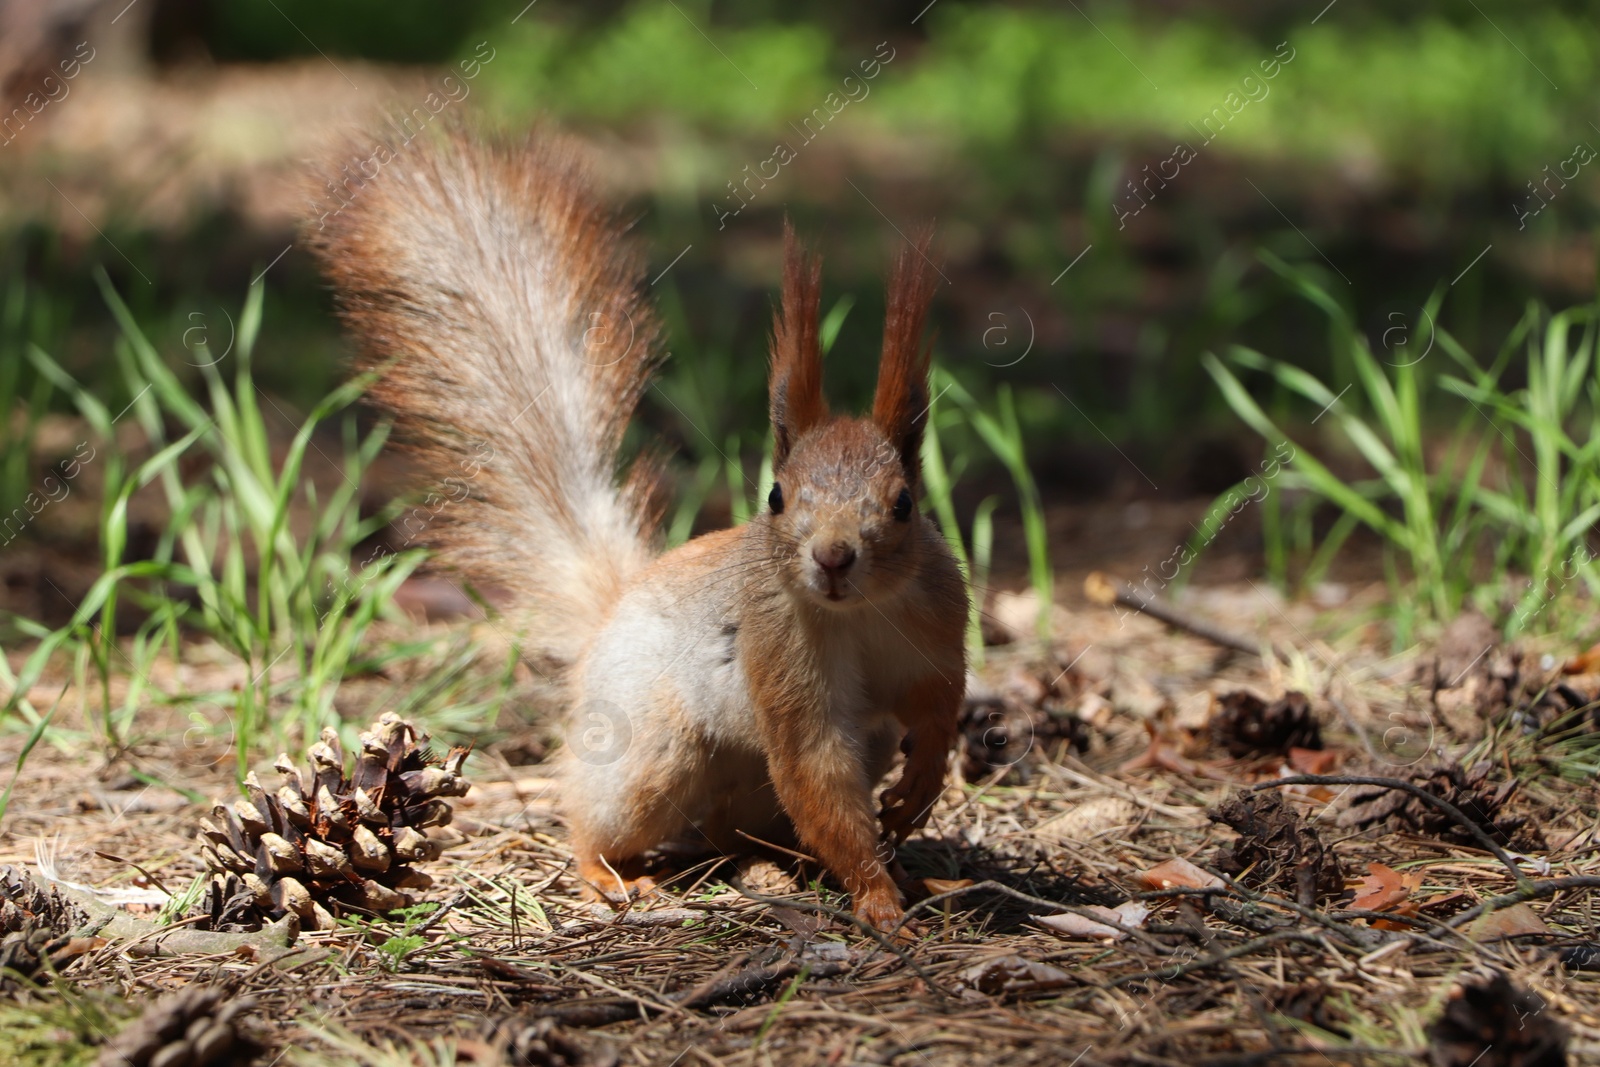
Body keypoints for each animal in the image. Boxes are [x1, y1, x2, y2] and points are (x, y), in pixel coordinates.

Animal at [307, 127, 966, 927]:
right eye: (776, 496)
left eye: (903, 502)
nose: (834, 557)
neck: (861, 612)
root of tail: (611, 614)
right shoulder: (783, 653)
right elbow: (814, 767)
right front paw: (877, 896)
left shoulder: (939, 622)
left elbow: (940, 706)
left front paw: (918, 796)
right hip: (652, 750)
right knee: (606, 819)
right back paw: (612, 875)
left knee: (740, 828)